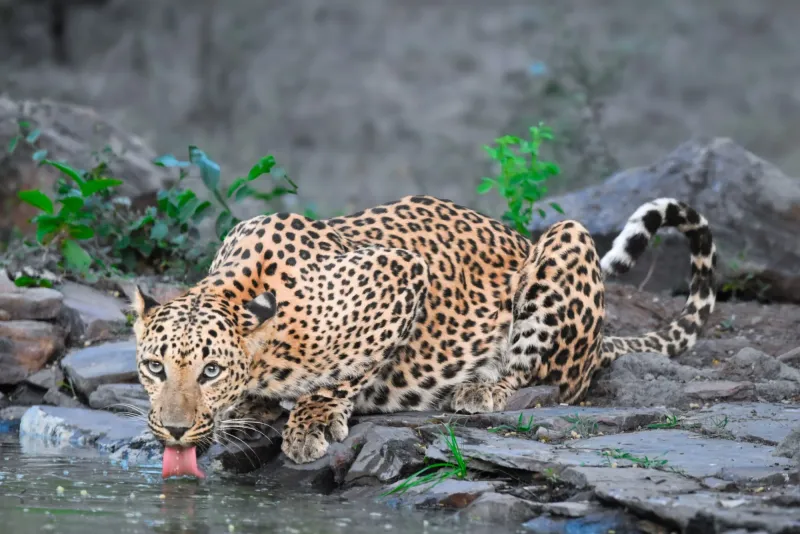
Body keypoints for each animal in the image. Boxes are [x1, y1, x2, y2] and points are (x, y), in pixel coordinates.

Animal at [132, 195, 716, 466]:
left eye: (210, 371)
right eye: (154, 367)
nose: (175, 431)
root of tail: (597, 345)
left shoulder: (401, 271)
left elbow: (349, 369)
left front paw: (312, 421)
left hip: (565, 242)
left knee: (544, 376)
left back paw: (481, 388)